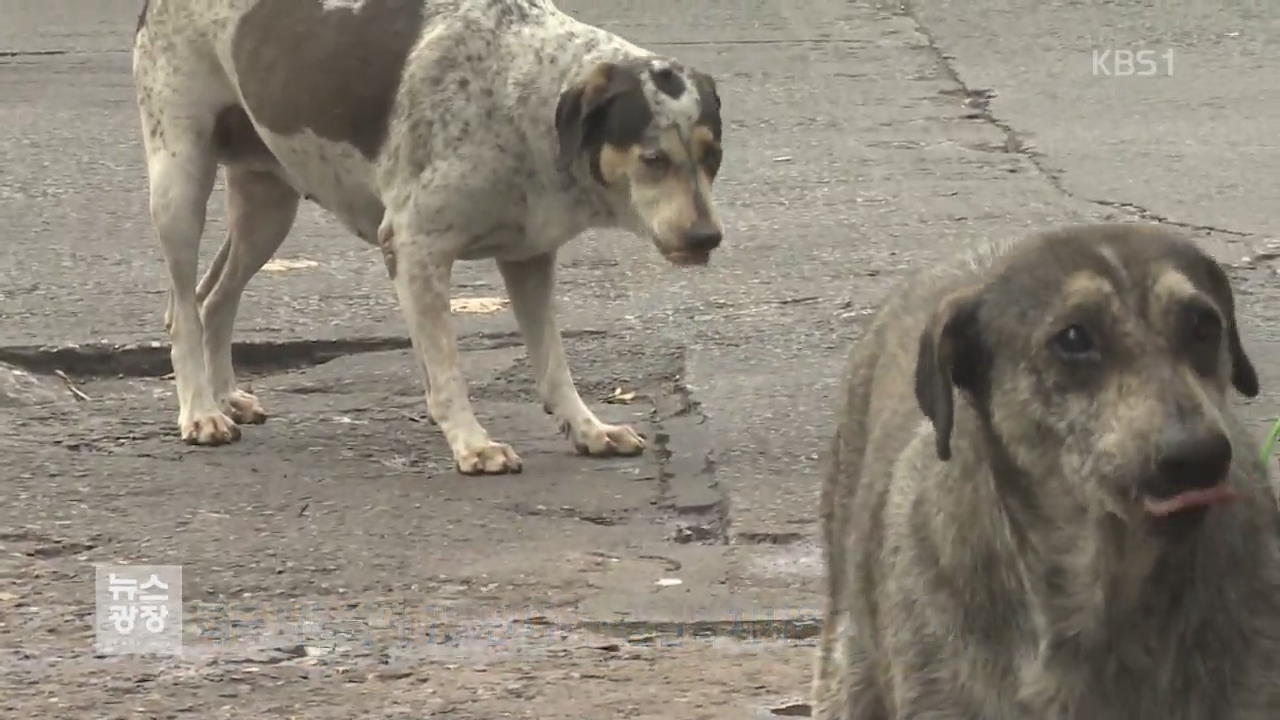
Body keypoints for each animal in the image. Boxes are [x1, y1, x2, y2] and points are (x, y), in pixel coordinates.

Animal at [137, 0, 732, 474]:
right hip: (179, 182)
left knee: (215, 297)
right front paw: (472, 443)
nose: (707, 237)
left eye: (712, 156)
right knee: (182, 308)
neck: (524, 91)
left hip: (268, 206)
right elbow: (447, 371)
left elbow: (553, 366)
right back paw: (200, 411)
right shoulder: (415, 249)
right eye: (652, 159)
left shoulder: (531, 257)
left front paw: (587, 430)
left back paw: (226, 396)